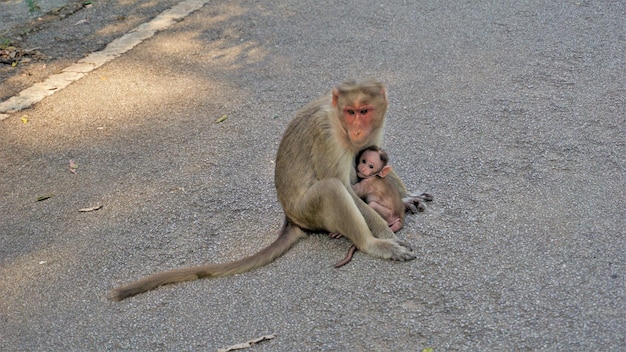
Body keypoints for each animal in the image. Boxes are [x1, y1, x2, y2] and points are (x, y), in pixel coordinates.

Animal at [109, 79, 416, 300]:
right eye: (351, 112)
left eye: (365, 111)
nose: (357, 129)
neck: (340, 124)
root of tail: (291, 219)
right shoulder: (327, 135)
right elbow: (345, 187)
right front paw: (386, 233)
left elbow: (377, 161)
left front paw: (406, 196)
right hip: (310, 212)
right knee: (331, 188)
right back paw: (371, 245)